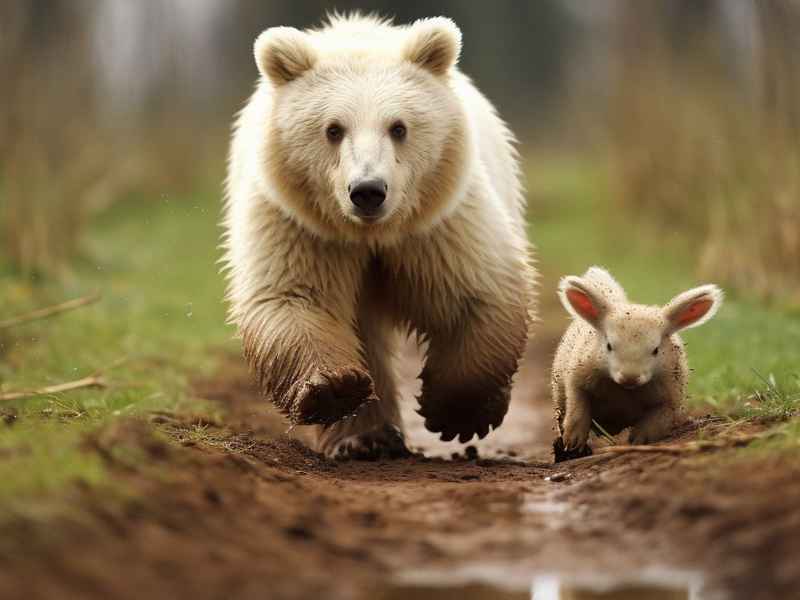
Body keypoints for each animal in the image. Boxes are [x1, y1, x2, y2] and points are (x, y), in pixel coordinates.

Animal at [221, 13, 536, 458]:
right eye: (333, 129)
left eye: (399, 127)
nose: (368, 190)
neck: (371, 234)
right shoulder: (300, 226)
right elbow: (295, 297)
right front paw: (334, 390)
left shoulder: (436, 224)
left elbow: (475, 290)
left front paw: (456, 414)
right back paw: (366, 437)